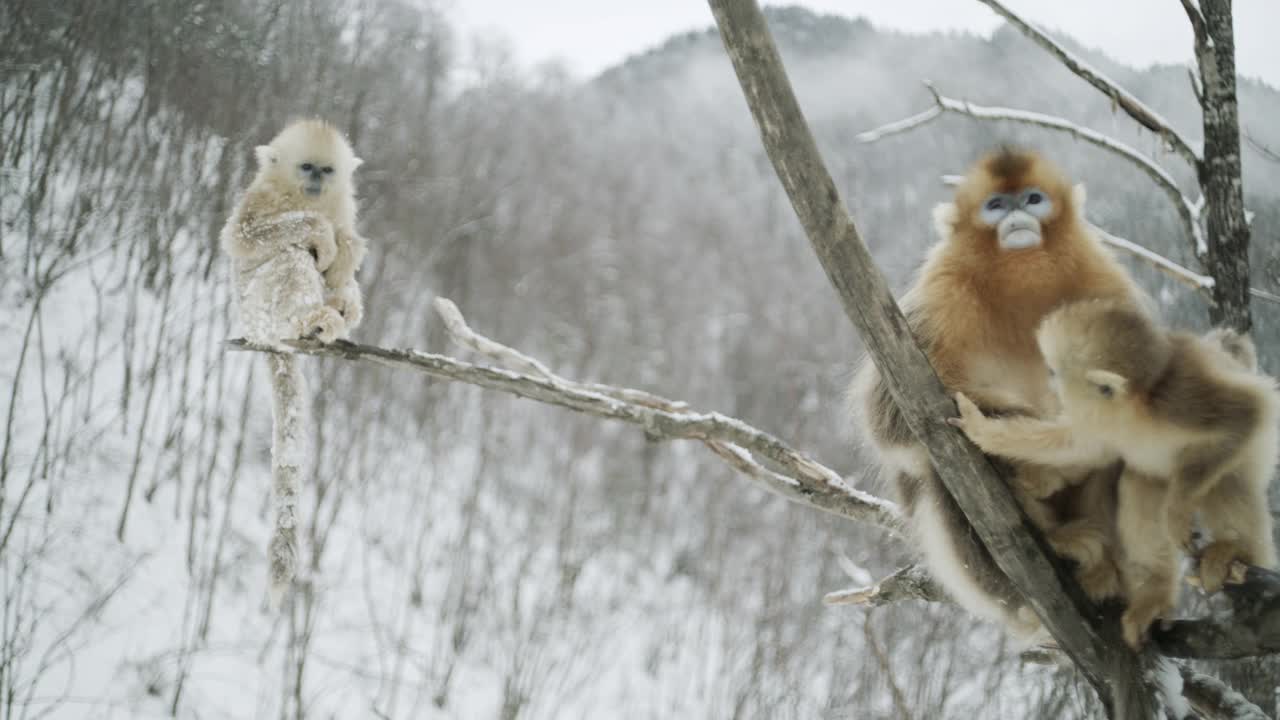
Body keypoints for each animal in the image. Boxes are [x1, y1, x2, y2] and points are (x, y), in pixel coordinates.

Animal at [220, 116, 368, 599]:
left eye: (327, 169)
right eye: (307, 167)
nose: (317, 182)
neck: (303, 197)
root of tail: (268, 339)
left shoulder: (341, 207)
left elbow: (346, 241)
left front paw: (342, 266)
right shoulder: (260, 200)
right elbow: (243, 237)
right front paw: (319, 233)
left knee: (341, 267)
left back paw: (337, 314)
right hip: (259, 310)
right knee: (289, 257)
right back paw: (310, 319)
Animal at [849, 147, 1152, 632]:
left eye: (1033, 198)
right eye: (995, 205)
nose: (1015, 215)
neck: (1022, 280)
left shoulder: (1105, 287)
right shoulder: (940, 292)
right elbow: (892, 421)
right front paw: (1039, 454)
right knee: (940, 465)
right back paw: (1057, 541)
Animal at [952, 297, 1280, 645]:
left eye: (1054, 371)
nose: (1049, 384)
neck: (1131, 410)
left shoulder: (1180, 399)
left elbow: (1246, 413)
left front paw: (1177, 514)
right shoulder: (1100, 422)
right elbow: (1076, 447)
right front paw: (981, 430)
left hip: (1257, 452)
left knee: (1225, 480)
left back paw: (1236, 550)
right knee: (1139, 484)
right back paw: (1155, 592)